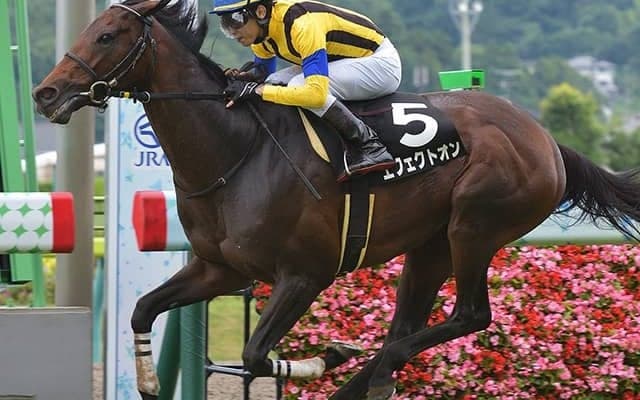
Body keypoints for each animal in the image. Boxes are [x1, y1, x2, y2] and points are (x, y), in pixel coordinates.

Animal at [32, 1, 640, 399]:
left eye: (108, 35)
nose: (46, 93)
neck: (237, 152)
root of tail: (546, 140)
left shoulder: (306, 274)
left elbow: (255, 356)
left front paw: (327, 354)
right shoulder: (221, 268)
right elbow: (144, 307)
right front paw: (148, 380)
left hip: (475, 227)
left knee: (468, 314)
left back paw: (364, 371)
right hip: (430, 246)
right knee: (406, 326)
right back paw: (368, 378)